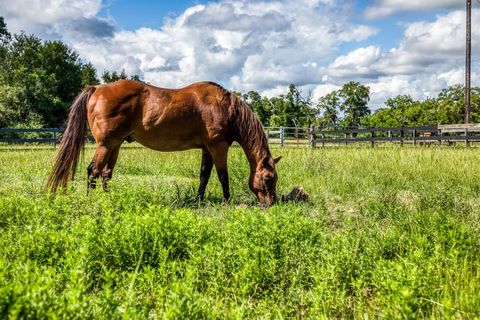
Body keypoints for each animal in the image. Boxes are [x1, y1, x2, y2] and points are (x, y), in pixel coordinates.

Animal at [47, 79, 280, 206]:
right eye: (269, 178)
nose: (271, 203)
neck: (226, 108)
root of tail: (97, 88)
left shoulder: (207, 149)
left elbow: (204, 175)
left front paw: (198, 199)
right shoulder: (218, 147)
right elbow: (223, 176)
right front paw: (227, 200)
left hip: (115, 144)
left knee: (105, 173)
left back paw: (108, 198)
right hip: (105, 144)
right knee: (93, 171)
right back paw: (92, 200)